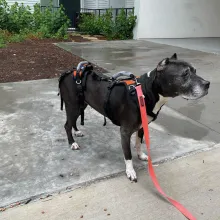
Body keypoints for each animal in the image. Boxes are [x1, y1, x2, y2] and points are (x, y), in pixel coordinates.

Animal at [58, 54, 210, 181]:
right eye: (185, 74)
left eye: (195, 71)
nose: (208, 84)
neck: (145, 92)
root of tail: (69, 73)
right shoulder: (125, 132)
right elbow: (128, 154)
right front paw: (130, 171)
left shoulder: (142, 125)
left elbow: (138, 143)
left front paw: (141, 155)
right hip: (73, 106)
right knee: (67, 124)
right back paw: (72, 143)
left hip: (81, 105)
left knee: (72, 121)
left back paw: (77, 131)